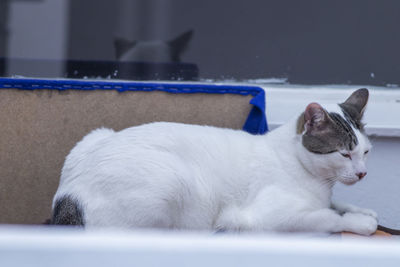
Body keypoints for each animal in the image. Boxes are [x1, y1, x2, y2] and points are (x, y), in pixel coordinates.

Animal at [51, 89, 376, 236]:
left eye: (366, 152)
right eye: (344, 153)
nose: (363, 174)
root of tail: (68, 196)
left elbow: (336, 205)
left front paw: (364, 210)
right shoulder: (269, 218)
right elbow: (329, 217)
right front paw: (361, 222)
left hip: (94, 135)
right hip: (171, 180)